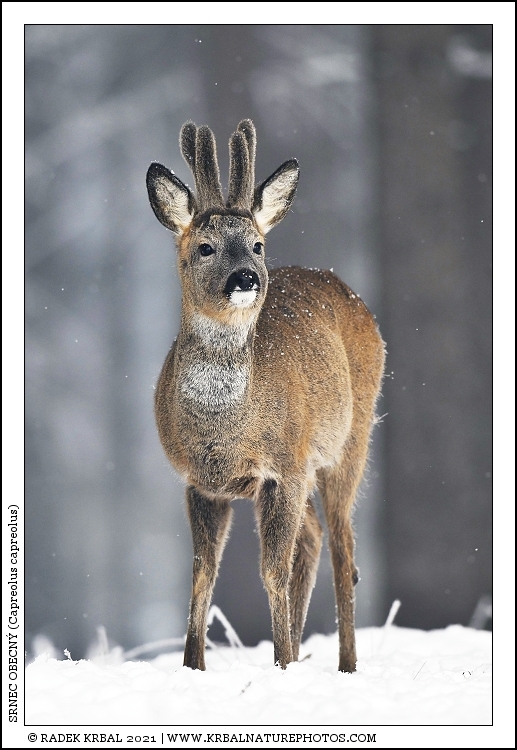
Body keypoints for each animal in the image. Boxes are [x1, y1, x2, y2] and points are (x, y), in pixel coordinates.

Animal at [146, 119, 385, 673]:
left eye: (256, 244)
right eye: (206, 246)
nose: (246, 278)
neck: (226, 429)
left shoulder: (284, 467)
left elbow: (270, 571)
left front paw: (279, 662)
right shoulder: (201, 482)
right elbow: (202, 572)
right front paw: (193, 666)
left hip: (351, 439)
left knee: (343, 547)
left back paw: (344, 664)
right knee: (314, 538)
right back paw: (298, 652)